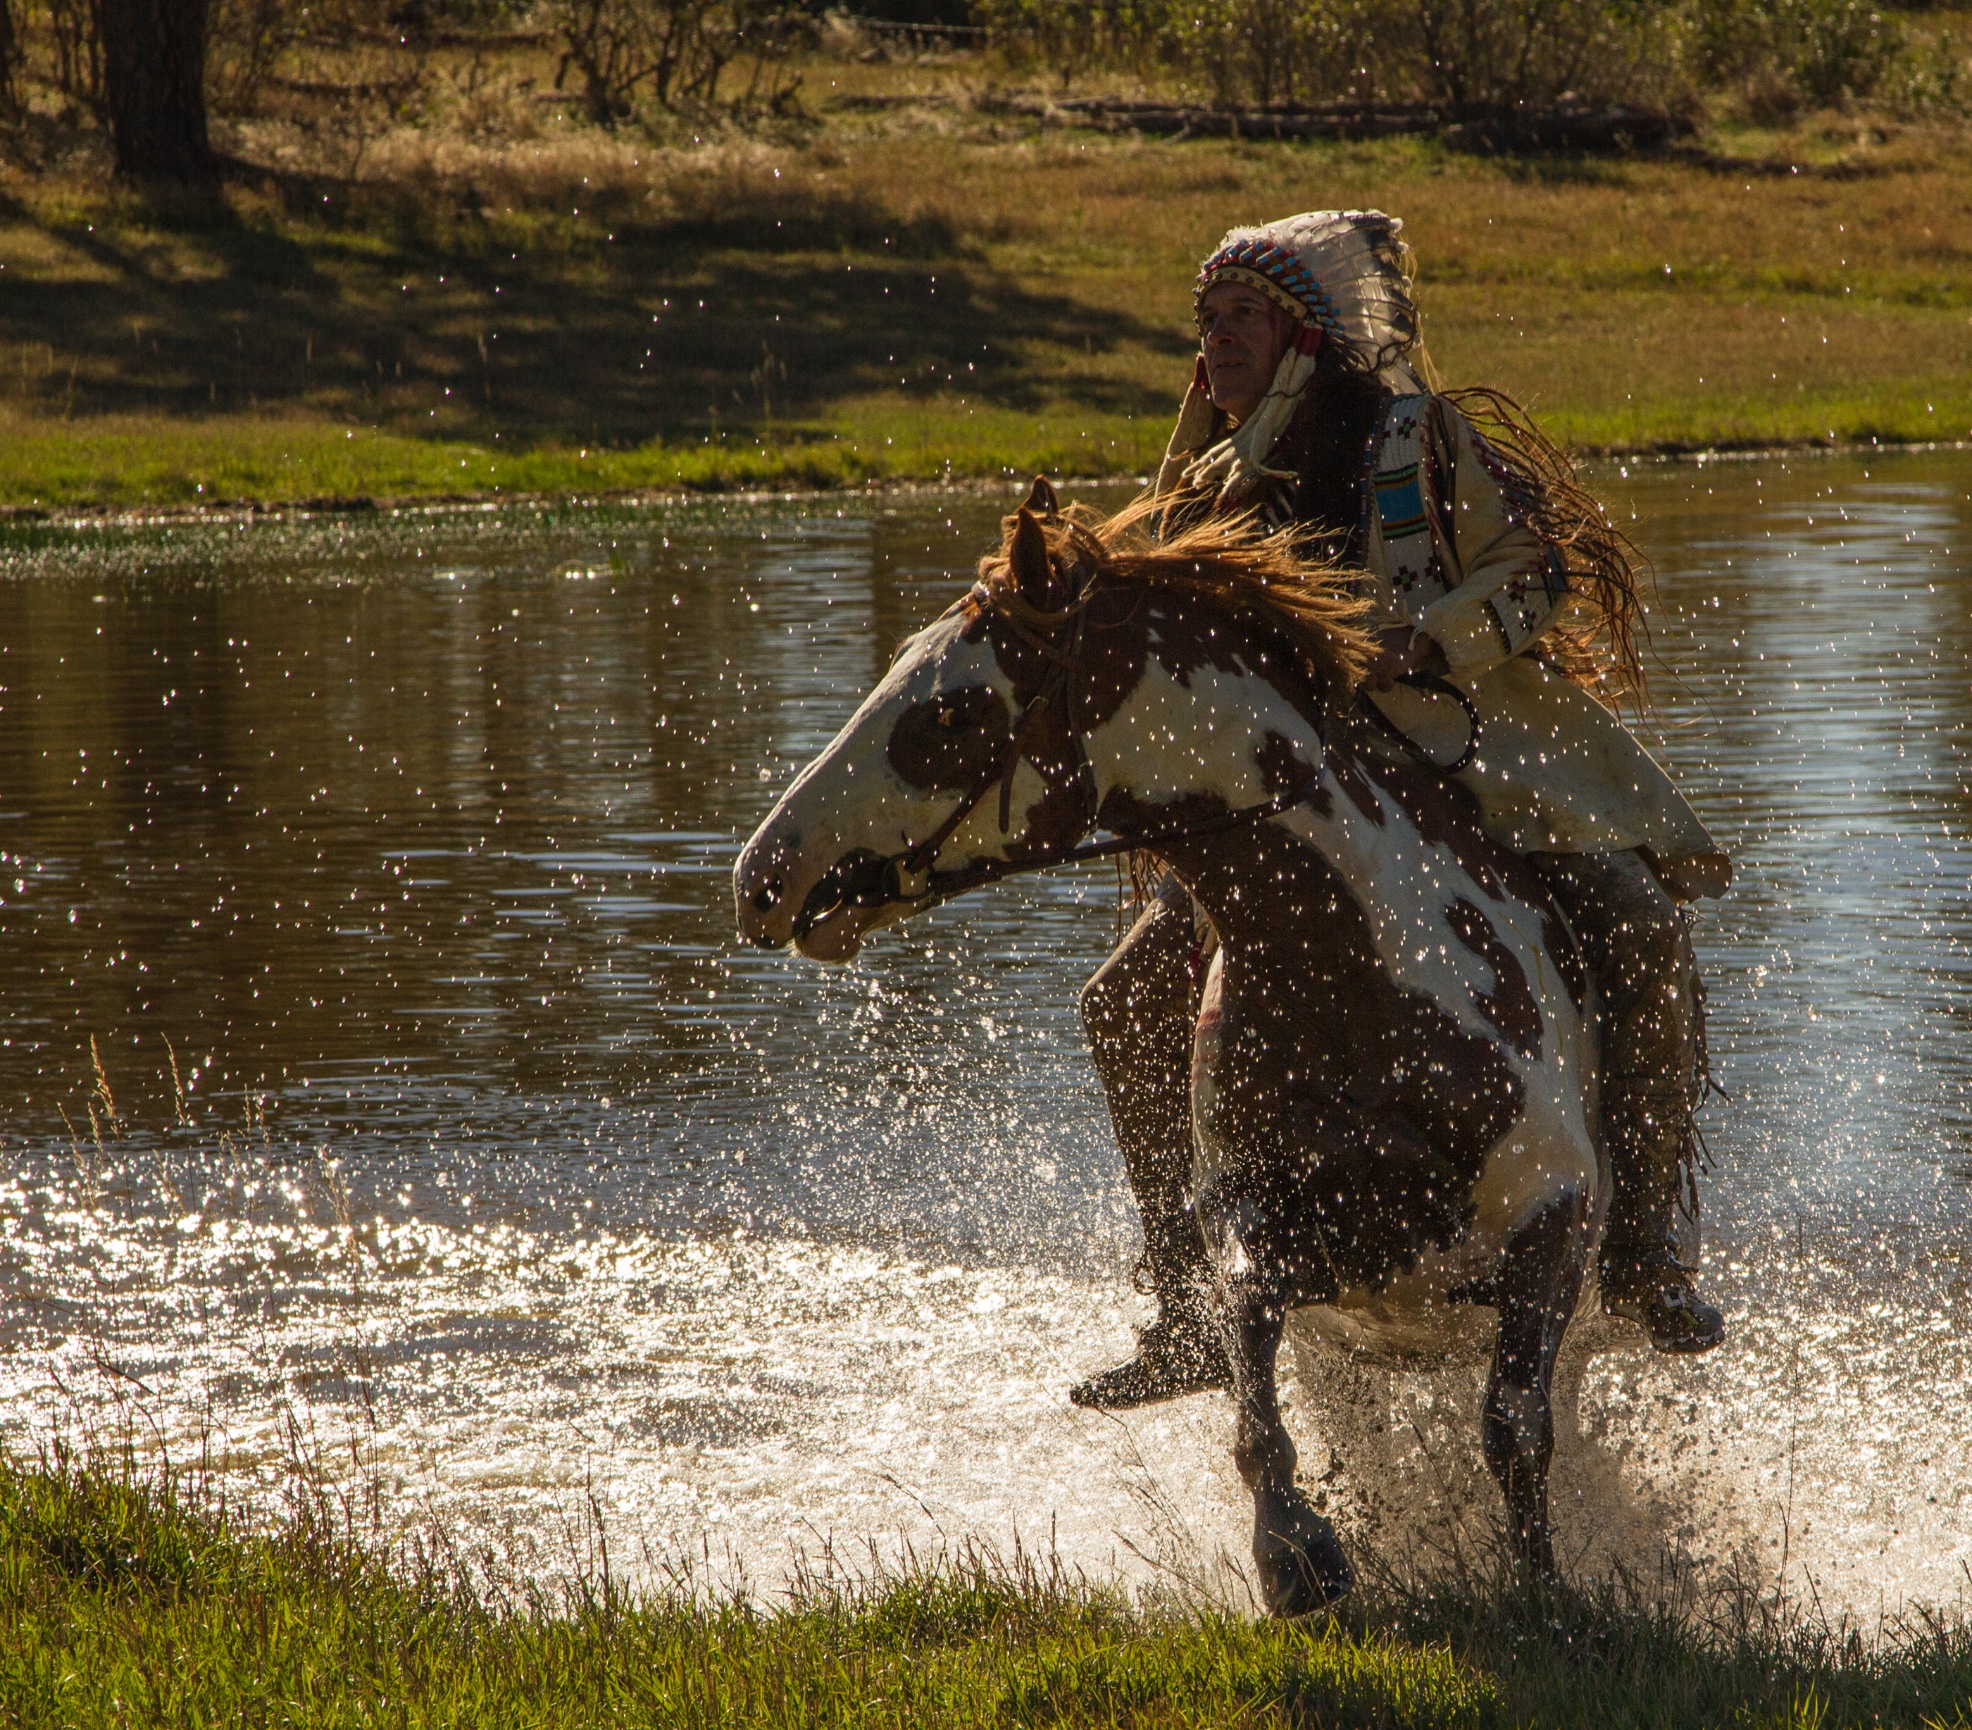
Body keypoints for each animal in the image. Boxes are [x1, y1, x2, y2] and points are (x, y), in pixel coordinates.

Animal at [733, 482, 1608, 1616]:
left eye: (948, 714)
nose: (763, 874)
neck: (1361, 969)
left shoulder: (1554, 1211)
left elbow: (1514, 1426)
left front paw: (1547, 1590)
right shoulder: (1255, 1213)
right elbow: (1246, 1344)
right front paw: (1295, 1548)